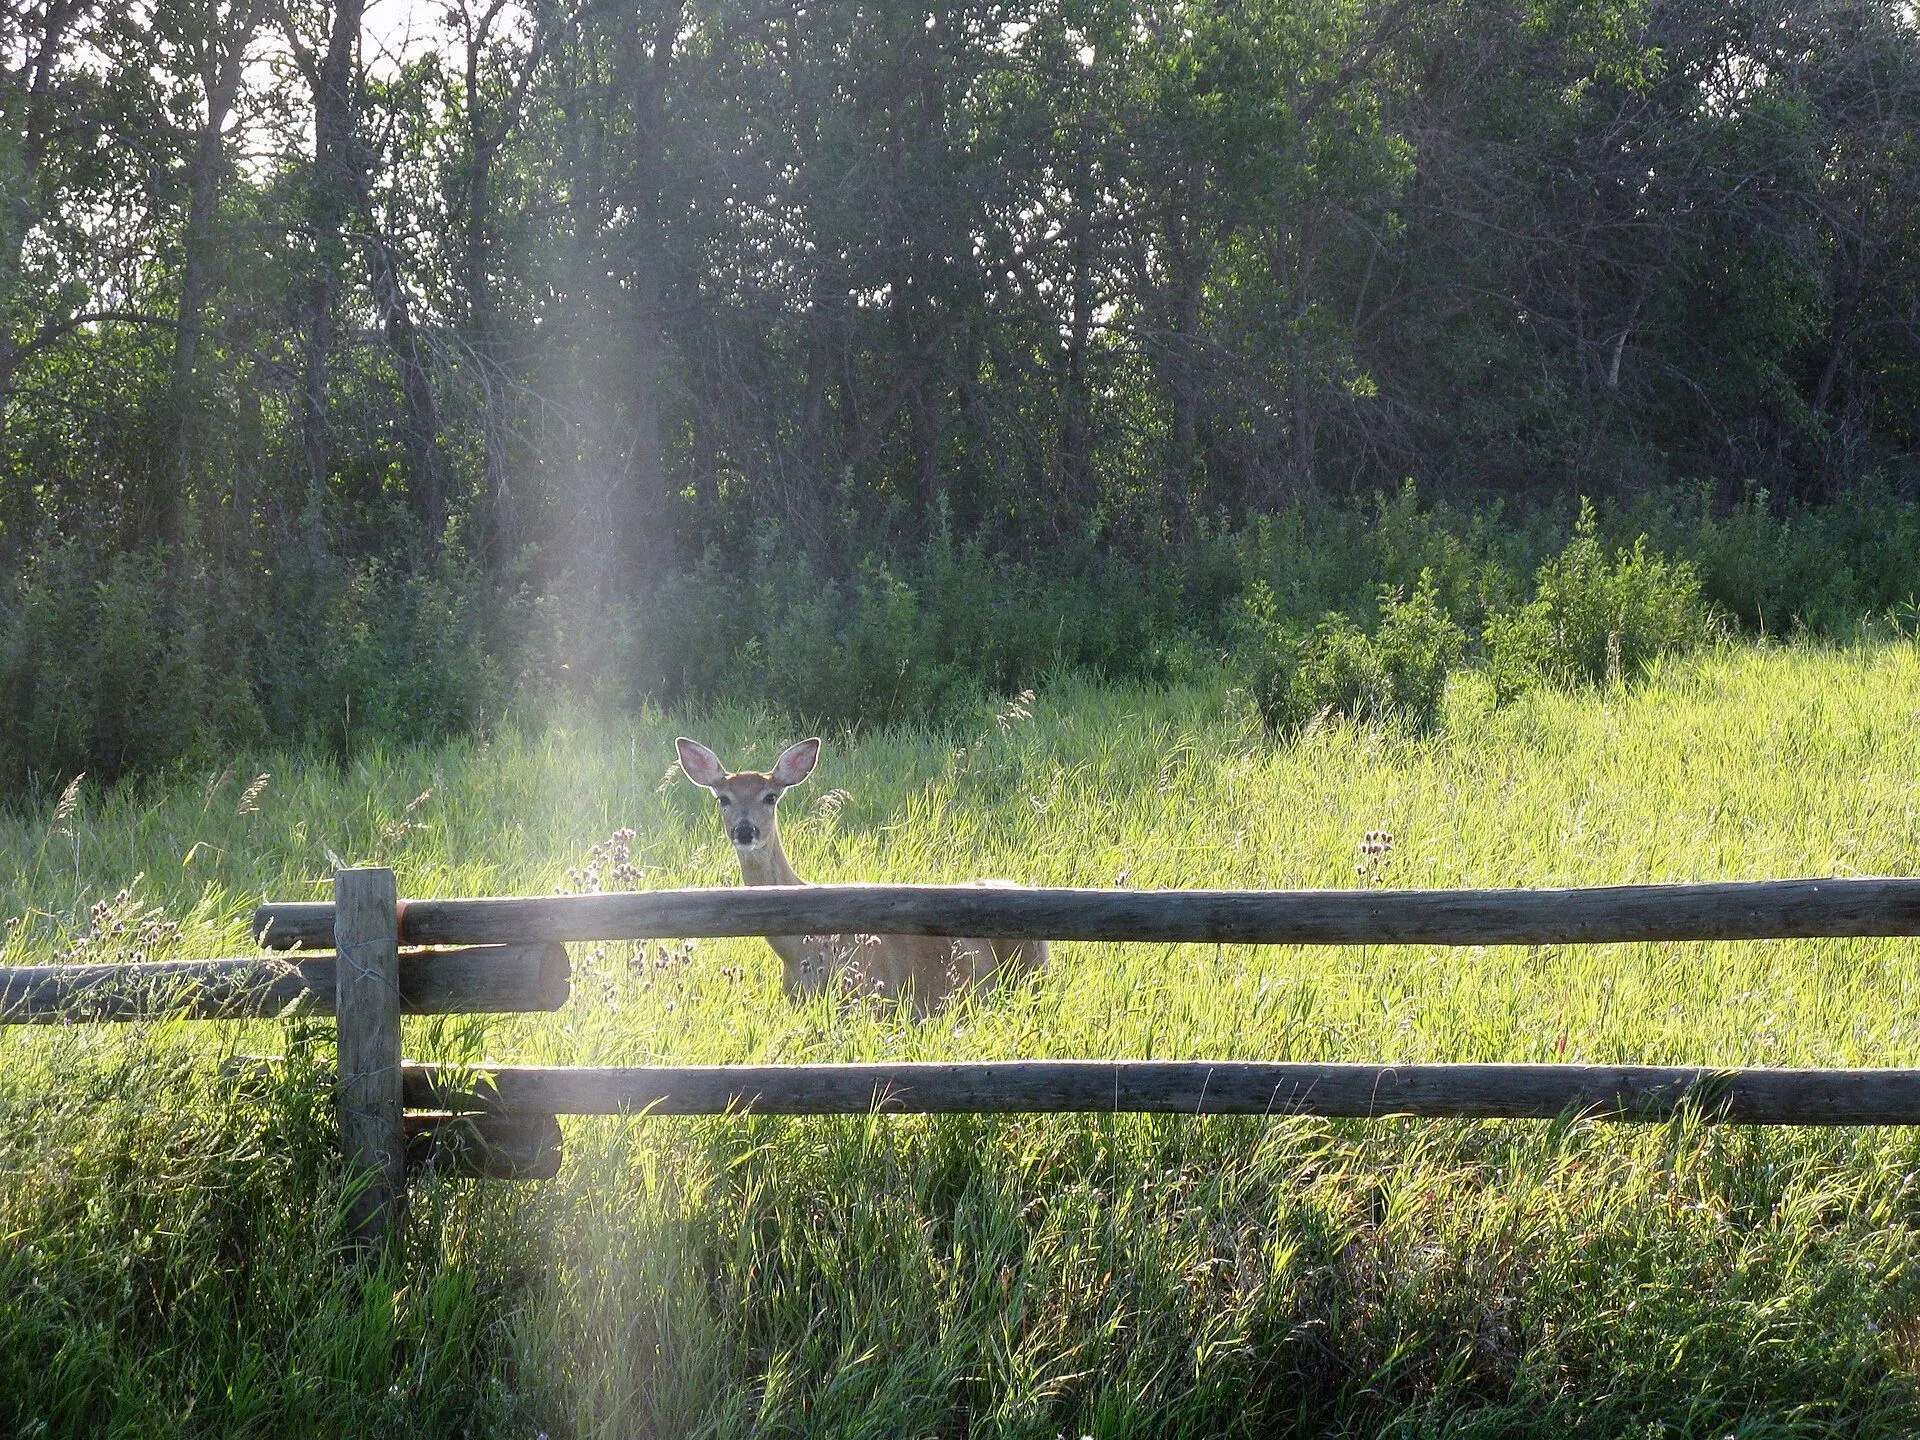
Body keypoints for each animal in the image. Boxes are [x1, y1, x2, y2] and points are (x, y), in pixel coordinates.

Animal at [675, 736, 1048, 1014]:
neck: (800, 950)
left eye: (770, 797)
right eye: (723, 798)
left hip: (1031, 974)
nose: (745, 830)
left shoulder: (869, 996)